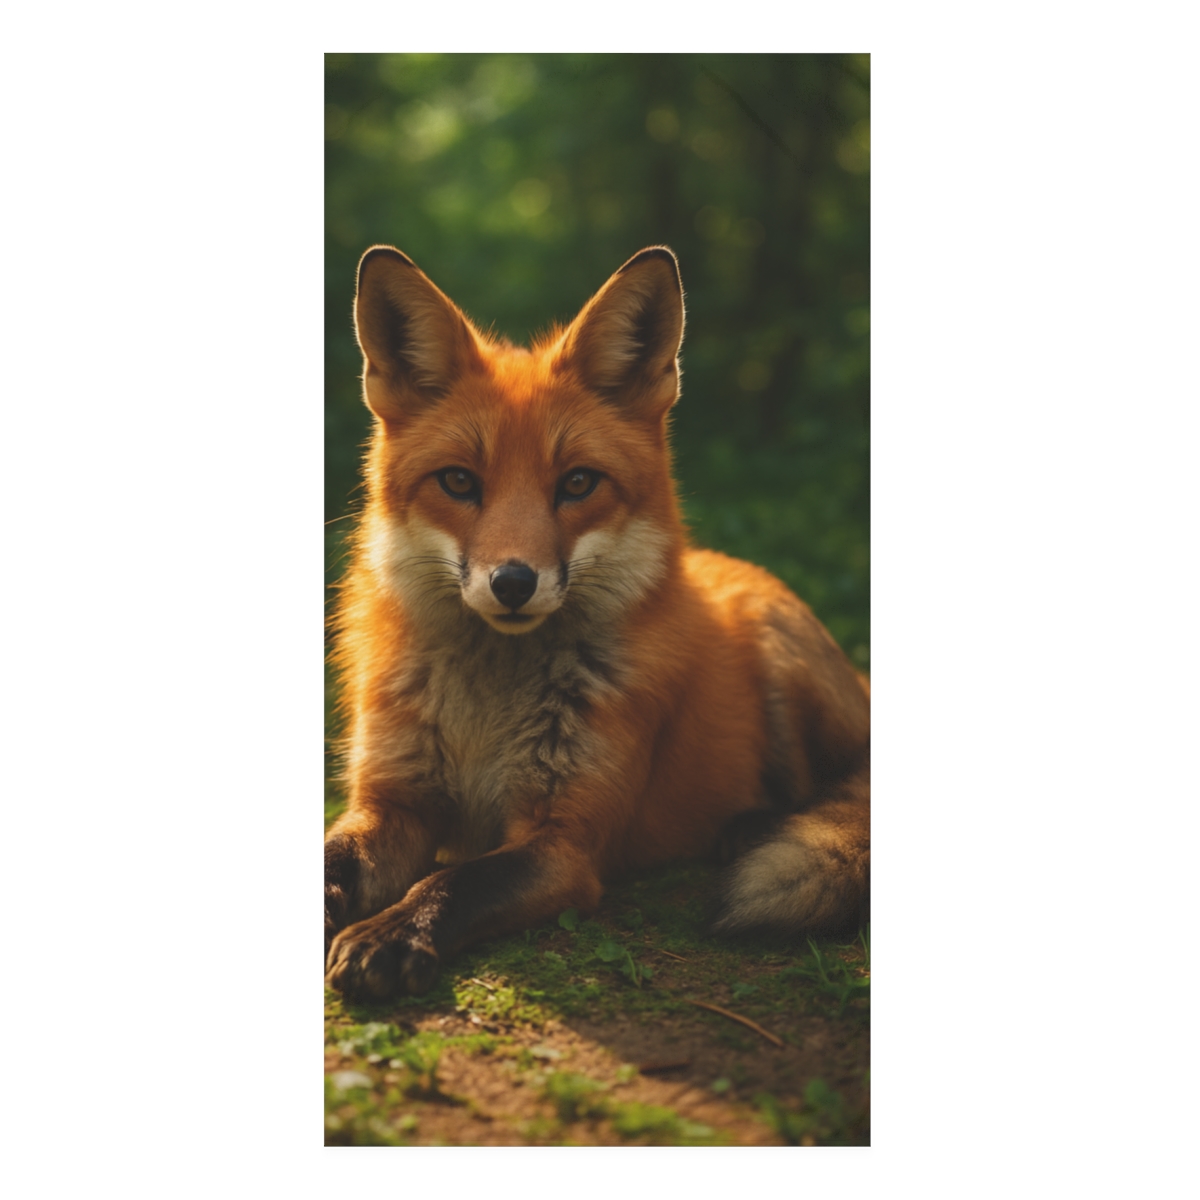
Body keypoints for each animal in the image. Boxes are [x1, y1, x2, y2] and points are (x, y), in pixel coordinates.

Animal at [324, 244, 870, 1001]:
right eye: (459, 482)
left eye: (578, 483)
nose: (513, 583)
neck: (484, 719)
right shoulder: (391, 806)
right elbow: (331, 861)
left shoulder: (565, 843)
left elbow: (454, 881)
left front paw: (395, 933)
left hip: (782, 659)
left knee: (841, 785)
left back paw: (750, 827)